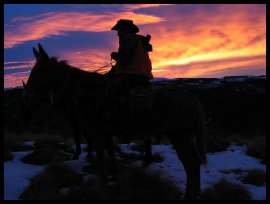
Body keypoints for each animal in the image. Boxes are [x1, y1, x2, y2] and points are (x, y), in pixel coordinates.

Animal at [22, 44, 207, 199]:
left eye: (40, 70)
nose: (28, 97)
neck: (83, 92)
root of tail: (191, 97)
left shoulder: (95, 130)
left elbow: (101, 155)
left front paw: (102, 180)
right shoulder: (105, 131)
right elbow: (110, 151)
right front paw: (114, 174)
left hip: (179, 137)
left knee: (190, 163)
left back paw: (188, 196)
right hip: (186, 137)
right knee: (195, 162)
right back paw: (195, 193)